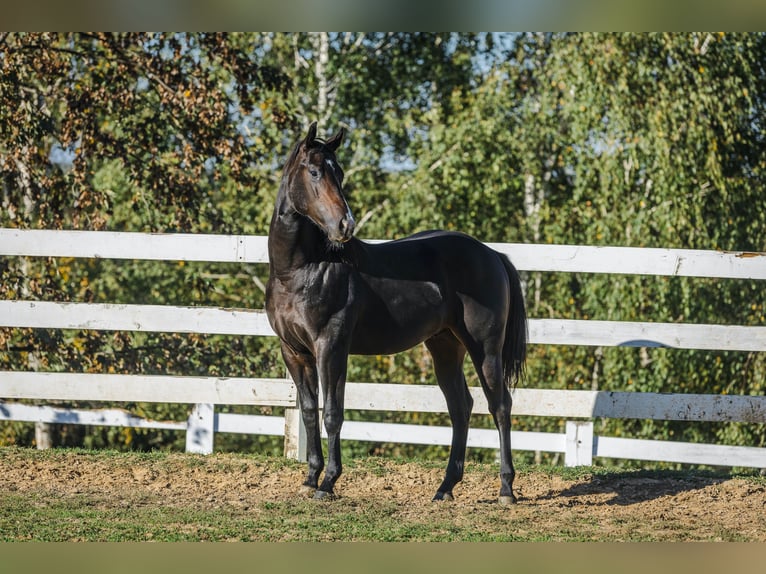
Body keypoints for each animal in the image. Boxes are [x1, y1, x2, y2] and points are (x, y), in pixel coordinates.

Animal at [266, 122, 528, 508]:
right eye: (314, 171)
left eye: (339, 172)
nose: (346, 225)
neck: (300, 270)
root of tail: (493, 254)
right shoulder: (294, 352)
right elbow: (310, 411)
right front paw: (310, 479)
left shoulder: (331, 347)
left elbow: (332, 412)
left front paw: (328, 482)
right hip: (445, 347)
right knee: (461, 407)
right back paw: (445, 488)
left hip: (486, 350)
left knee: (500, 406)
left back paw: (506, 489)